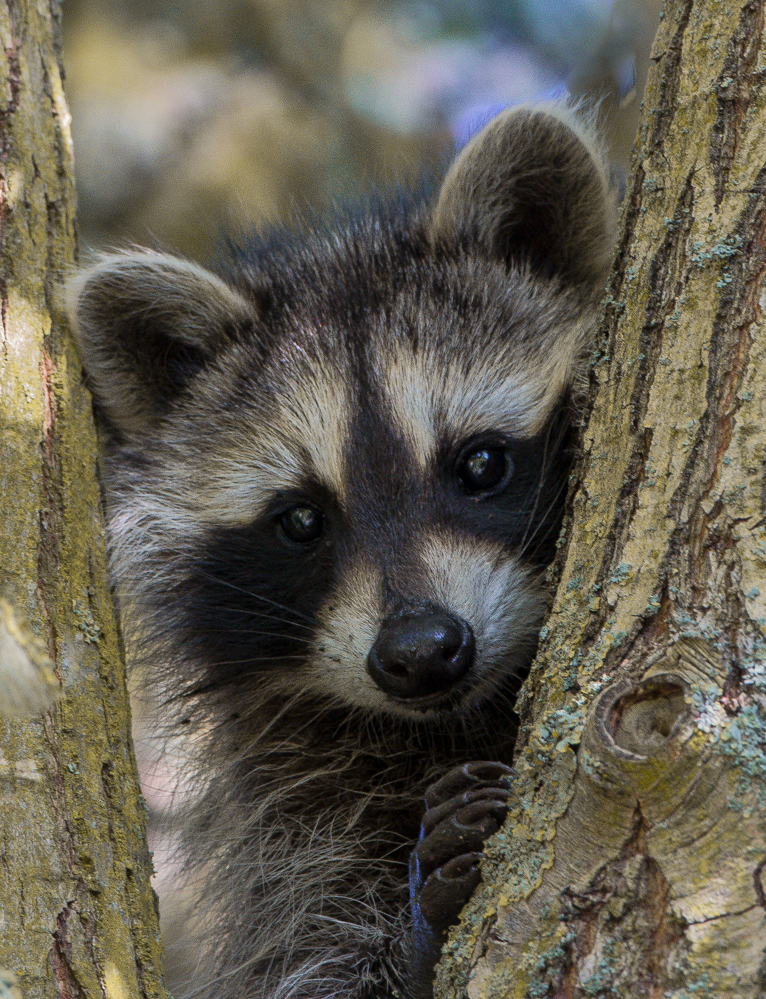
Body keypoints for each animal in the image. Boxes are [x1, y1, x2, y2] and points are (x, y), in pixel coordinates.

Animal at [66, 105, 616, 999]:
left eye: (481, 464)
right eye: (300, 519)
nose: (421, 651)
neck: (461, 718)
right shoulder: (296, 793)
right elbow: (309, 936)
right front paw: (422, 925)